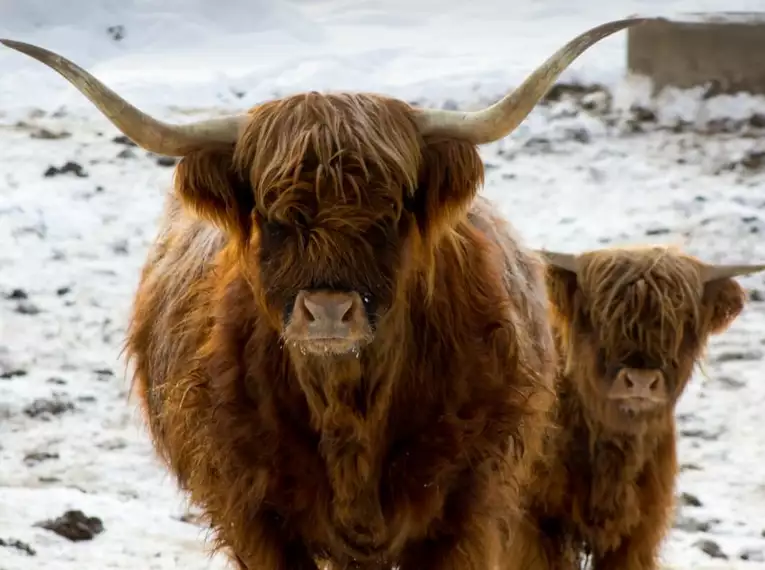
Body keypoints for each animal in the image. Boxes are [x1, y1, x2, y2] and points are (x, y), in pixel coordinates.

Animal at [2, 17, 652, 568]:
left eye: (390, 213)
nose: (329, 313)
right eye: (273, 216)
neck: (349, 405)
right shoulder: (253, 514)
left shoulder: (462, 508)